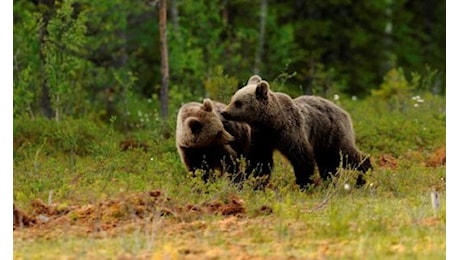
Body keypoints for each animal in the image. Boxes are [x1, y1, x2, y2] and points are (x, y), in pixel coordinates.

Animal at [221, 75, 372, 189]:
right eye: (233, 99)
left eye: (238, 102)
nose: (224, 112)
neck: (272, 122)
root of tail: (343, 111)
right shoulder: (262, 137)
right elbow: (260, 160)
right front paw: (254, 180)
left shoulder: (291, 132)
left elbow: (302, 157)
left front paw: (305, 183)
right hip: (323, 142)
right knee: (328, 164)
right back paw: (330, 182)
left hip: (333, 134)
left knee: (345, 154)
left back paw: (363, 176)